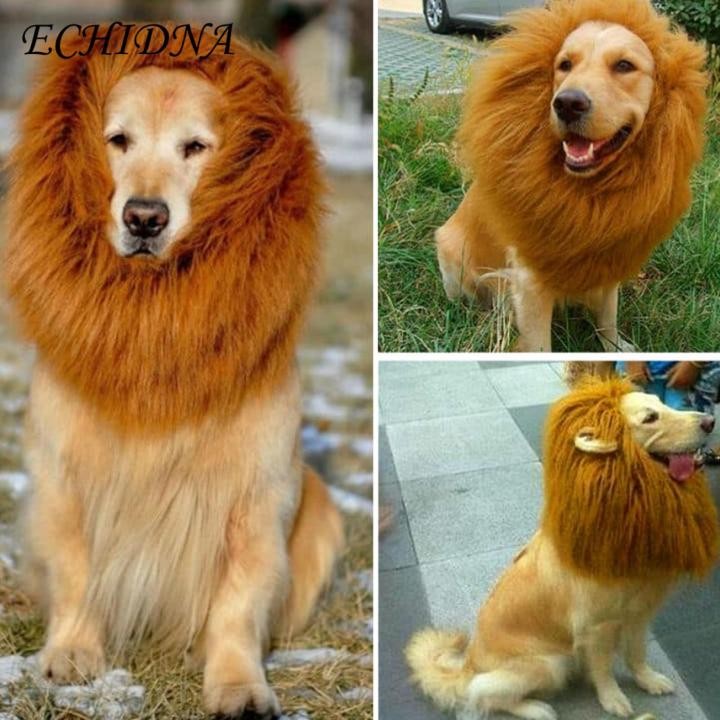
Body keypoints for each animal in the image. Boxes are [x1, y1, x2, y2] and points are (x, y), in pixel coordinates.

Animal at [3, 25, 343, 717]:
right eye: (118, 140)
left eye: (196, 146)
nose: (144, 217)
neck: (155, 318)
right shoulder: (63, 474)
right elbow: (76, 570)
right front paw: (71, 653)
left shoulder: (255, 495)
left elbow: (238, 602)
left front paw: (239, 684)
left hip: (325, 511)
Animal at [406, 378, 718, 719]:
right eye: (650, 418)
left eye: (662, 403)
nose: (709, 421)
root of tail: (469, 666)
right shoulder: (596, 628)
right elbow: (604, 670)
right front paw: (613, 699)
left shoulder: (640, 613)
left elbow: (637, 654)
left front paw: (648, 680)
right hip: (549, 663)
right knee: (484, 695)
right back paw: (537, 708)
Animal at [436, 0, 707, 351]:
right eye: (564, 64)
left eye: (624, 65)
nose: (567, 103)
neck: (586, 191)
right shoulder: (530, 280)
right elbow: (539, 345)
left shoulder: (607, 260)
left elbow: (608, 315)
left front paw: (615, 345)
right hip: (450, 250)